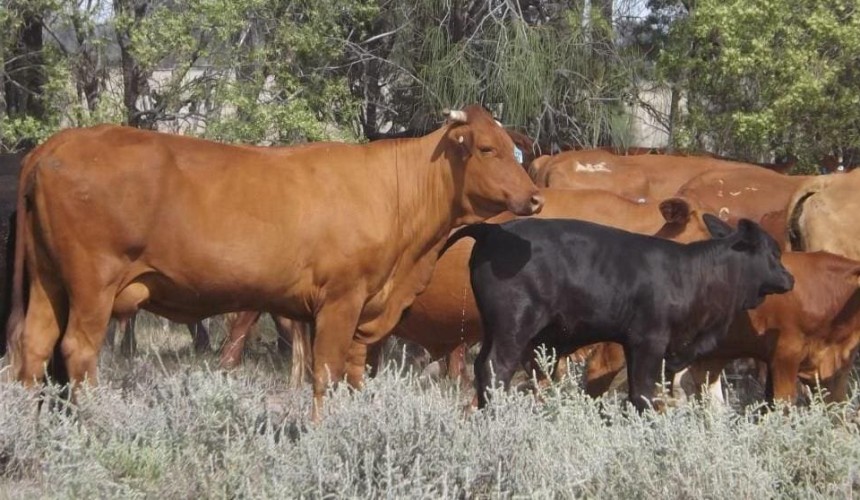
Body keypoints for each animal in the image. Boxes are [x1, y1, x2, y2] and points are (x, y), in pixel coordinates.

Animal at [5, 105, 542, 420]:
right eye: (487, 148)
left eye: (516, 151)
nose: (536, 198)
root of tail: (61, 141)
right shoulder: (341, 300)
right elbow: (325, 372)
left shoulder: (365, 310)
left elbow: (353, 373)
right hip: (92, 282)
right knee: (77, 351)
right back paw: (93, 422)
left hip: (50, 282)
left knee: (34, 345)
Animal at [446, 215, 794, 411]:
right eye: (774, 252)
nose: (790, 278)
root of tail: (493, 229)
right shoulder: (650, 341)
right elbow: (643, 392)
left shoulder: (634, 343)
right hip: (515, 325)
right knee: (496, 369)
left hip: (493, 327)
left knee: (481, 368)